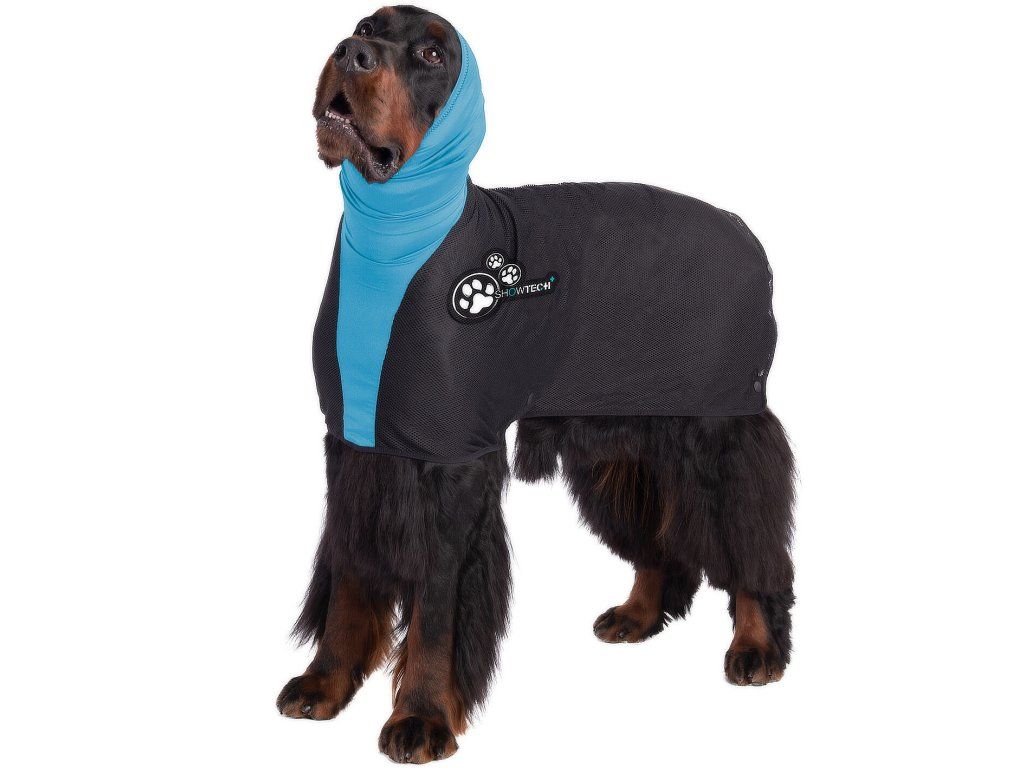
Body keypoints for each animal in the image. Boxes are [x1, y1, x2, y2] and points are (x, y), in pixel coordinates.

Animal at [278, 6, 796, 763]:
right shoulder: (356, 449)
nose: (352, 52)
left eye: (432, 53)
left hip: (719, 422)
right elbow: (350, 575)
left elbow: (436, 609)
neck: (396, 237)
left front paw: (422, 716)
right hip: (623, 440)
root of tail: (747, 235)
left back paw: (756, 646)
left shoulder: (452, 460)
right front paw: (326, 682)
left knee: (749, 536)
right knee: (662, 539)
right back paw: (638, 614)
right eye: (365, 23)